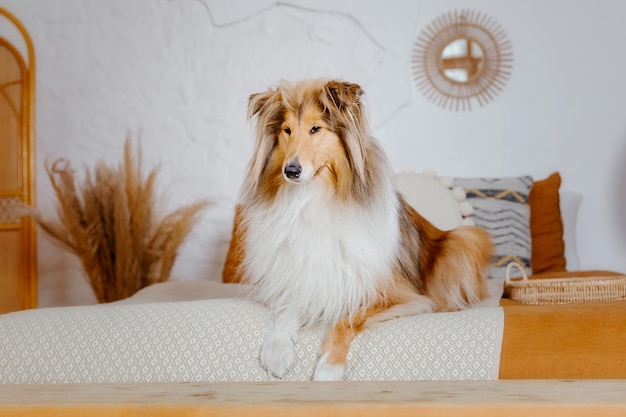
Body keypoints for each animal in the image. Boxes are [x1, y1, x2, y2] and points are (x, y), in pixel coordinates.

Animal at [235, 78, 492, 380]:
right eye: (287, 130)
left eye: (315, 129)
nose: (291, 171)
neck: (313, 199)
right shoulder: (306, 278)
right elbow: (288, 309)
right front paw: (277, 351)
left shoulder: (399, 296)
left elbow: (346, 319)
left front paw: (329, 368)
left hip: (464, 239)